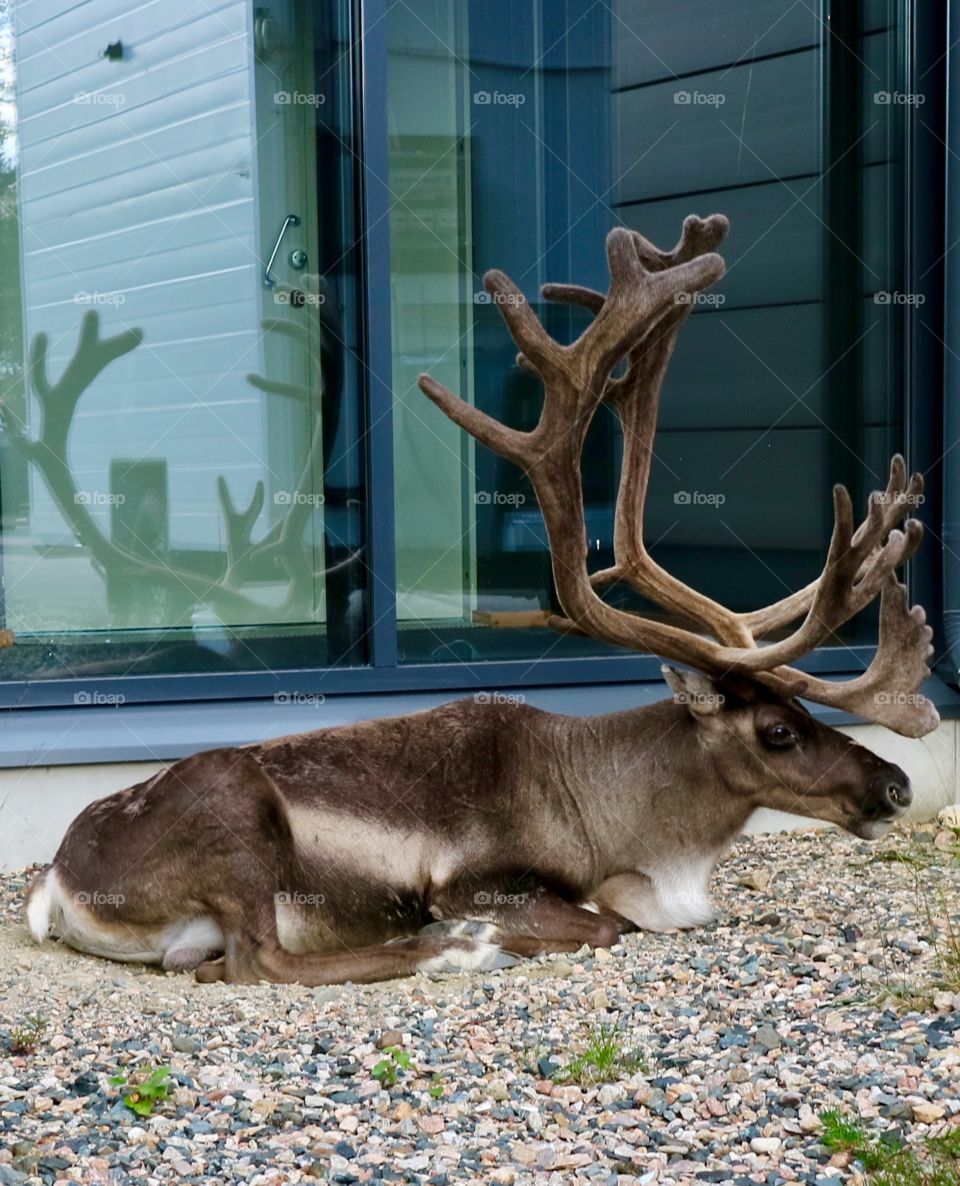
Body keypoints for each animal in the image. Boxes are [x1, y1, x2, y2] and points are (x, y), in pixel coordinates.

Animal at [26, 213, 938, 986]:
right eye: (778, 730)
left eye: (808, 711)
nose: (897, 785)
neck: (626, 826)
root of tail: (58, 883)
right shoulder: (476, 878)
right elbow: (602, 923)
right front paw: (478, 935)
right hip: (239, 826)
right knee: (259, 963)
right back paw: (445, 950)